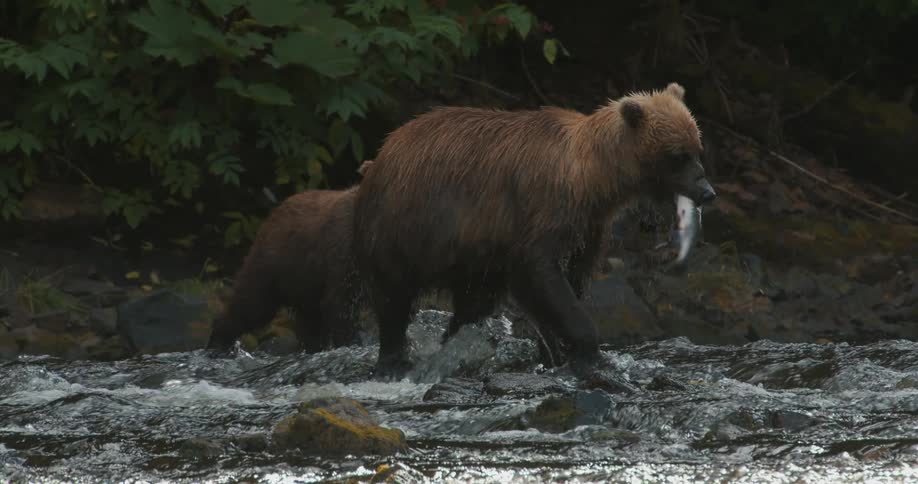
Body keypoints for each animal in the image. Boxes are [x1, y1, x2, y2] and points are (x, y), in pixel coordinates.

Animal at [207, 160, 375, 352]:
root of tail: (273, 212)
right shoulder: (344, 258)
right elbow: (341, 305)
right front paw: (352, 342)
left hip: (304, 282)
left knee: (308, 321)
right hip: (274, 264)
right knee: (252, 304)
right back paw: (218, 342)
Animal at [353, 83, 716, 378]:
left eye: (698, 148)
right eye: (678, 155)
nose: (708, 191)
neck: (595, 180)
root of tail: (381, 153)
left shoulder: (589, 225)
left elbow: (572, 277)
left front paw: (557, 348)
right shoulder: (542, 209)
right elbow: (542, 273)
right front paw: (585, 349)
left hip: (467, 250)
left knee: (472, 300)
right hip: (407, 223)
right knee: (393, 295)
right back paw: (392, 361)